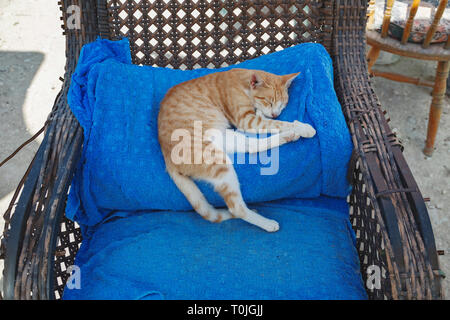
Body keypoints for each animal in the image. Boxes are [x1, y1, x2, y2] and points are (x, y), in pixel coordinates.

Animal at [158, 68, 316, 232]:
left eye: (283, 104)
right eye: (269, 101)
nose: (275, 113)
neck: (242, 83)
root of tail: (167, 158)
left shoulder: (247, 123)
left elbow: (271, 122)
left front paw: (274, 118)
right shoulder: (247, 121)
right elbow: (279, 123)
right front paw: (304, 127)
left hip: (227, 136)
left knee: (252, 147)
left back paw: (288, 136)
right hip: (218, 162)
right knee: (236, 208)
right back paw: (267, 223)